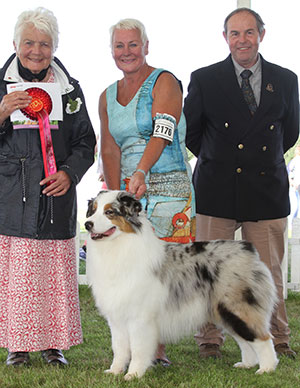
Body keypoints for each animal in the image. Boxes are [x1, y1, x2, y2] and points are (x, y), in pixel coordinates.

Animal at [84, 190, 278, 378]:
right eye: (92, 211)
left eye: (109, 212)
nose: (87, 224)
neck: (118, 246)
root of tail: (247, 248)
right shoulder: (117, 318)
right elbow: (119, 349)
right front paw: (115, 371)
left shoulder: (140, 318)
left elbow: (138, 349)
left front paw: (133, 374)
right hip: (224, 312)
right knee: (245, 341)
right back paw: (247, 364)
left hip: (238, 308)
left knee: (262, 338)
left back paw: (266, 369)